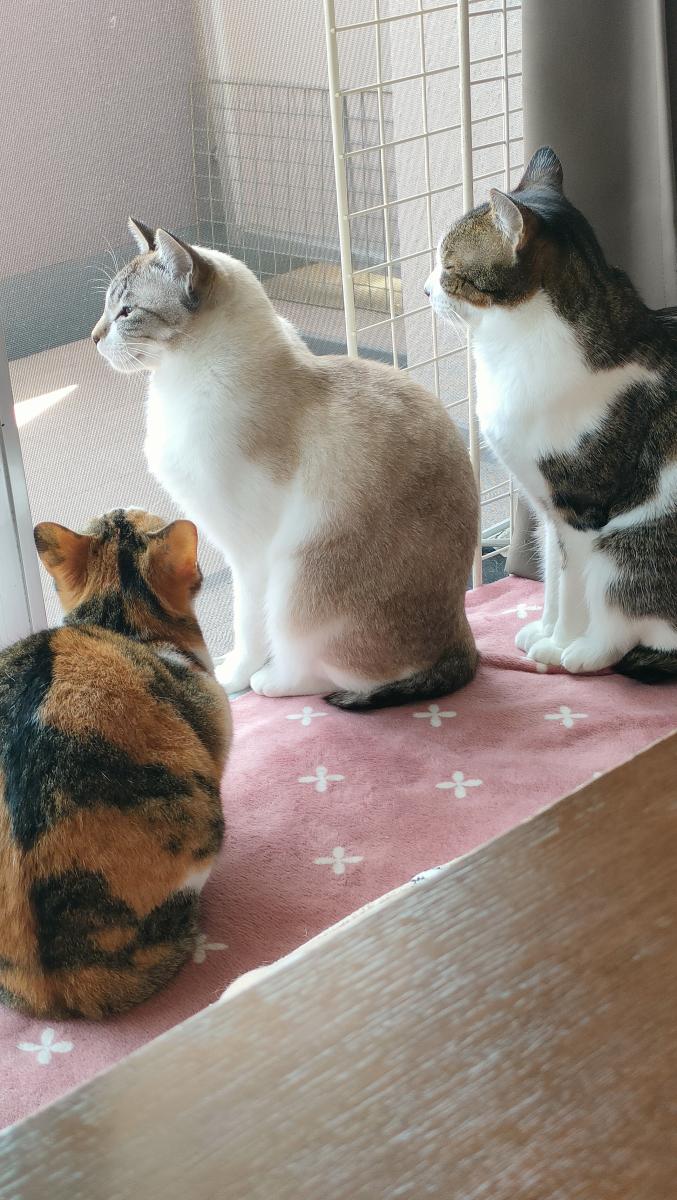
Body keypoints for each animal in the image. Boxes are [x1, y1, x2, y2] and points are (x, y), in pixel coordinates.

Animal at [91, 219, 479, 710]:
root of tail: (461, 634)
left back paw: (271, 681)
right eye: (108, 309)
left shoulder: (247, 554)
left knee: (327, 672)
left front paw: (230, 675)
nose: (94, 337)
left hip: (293, 579)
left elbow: (246, 626)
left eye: (126, 312)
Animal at [426, 146, 677, 680]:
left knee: (628, 620)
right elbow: (554, 581)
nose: (424, 289)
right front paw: (543, 630)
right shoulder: (543, 509)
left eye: (449, 265)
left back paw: (584, 653)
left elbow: (574, 590)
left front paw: (559, 645)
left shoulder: (578, 508)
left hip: (625, 542)